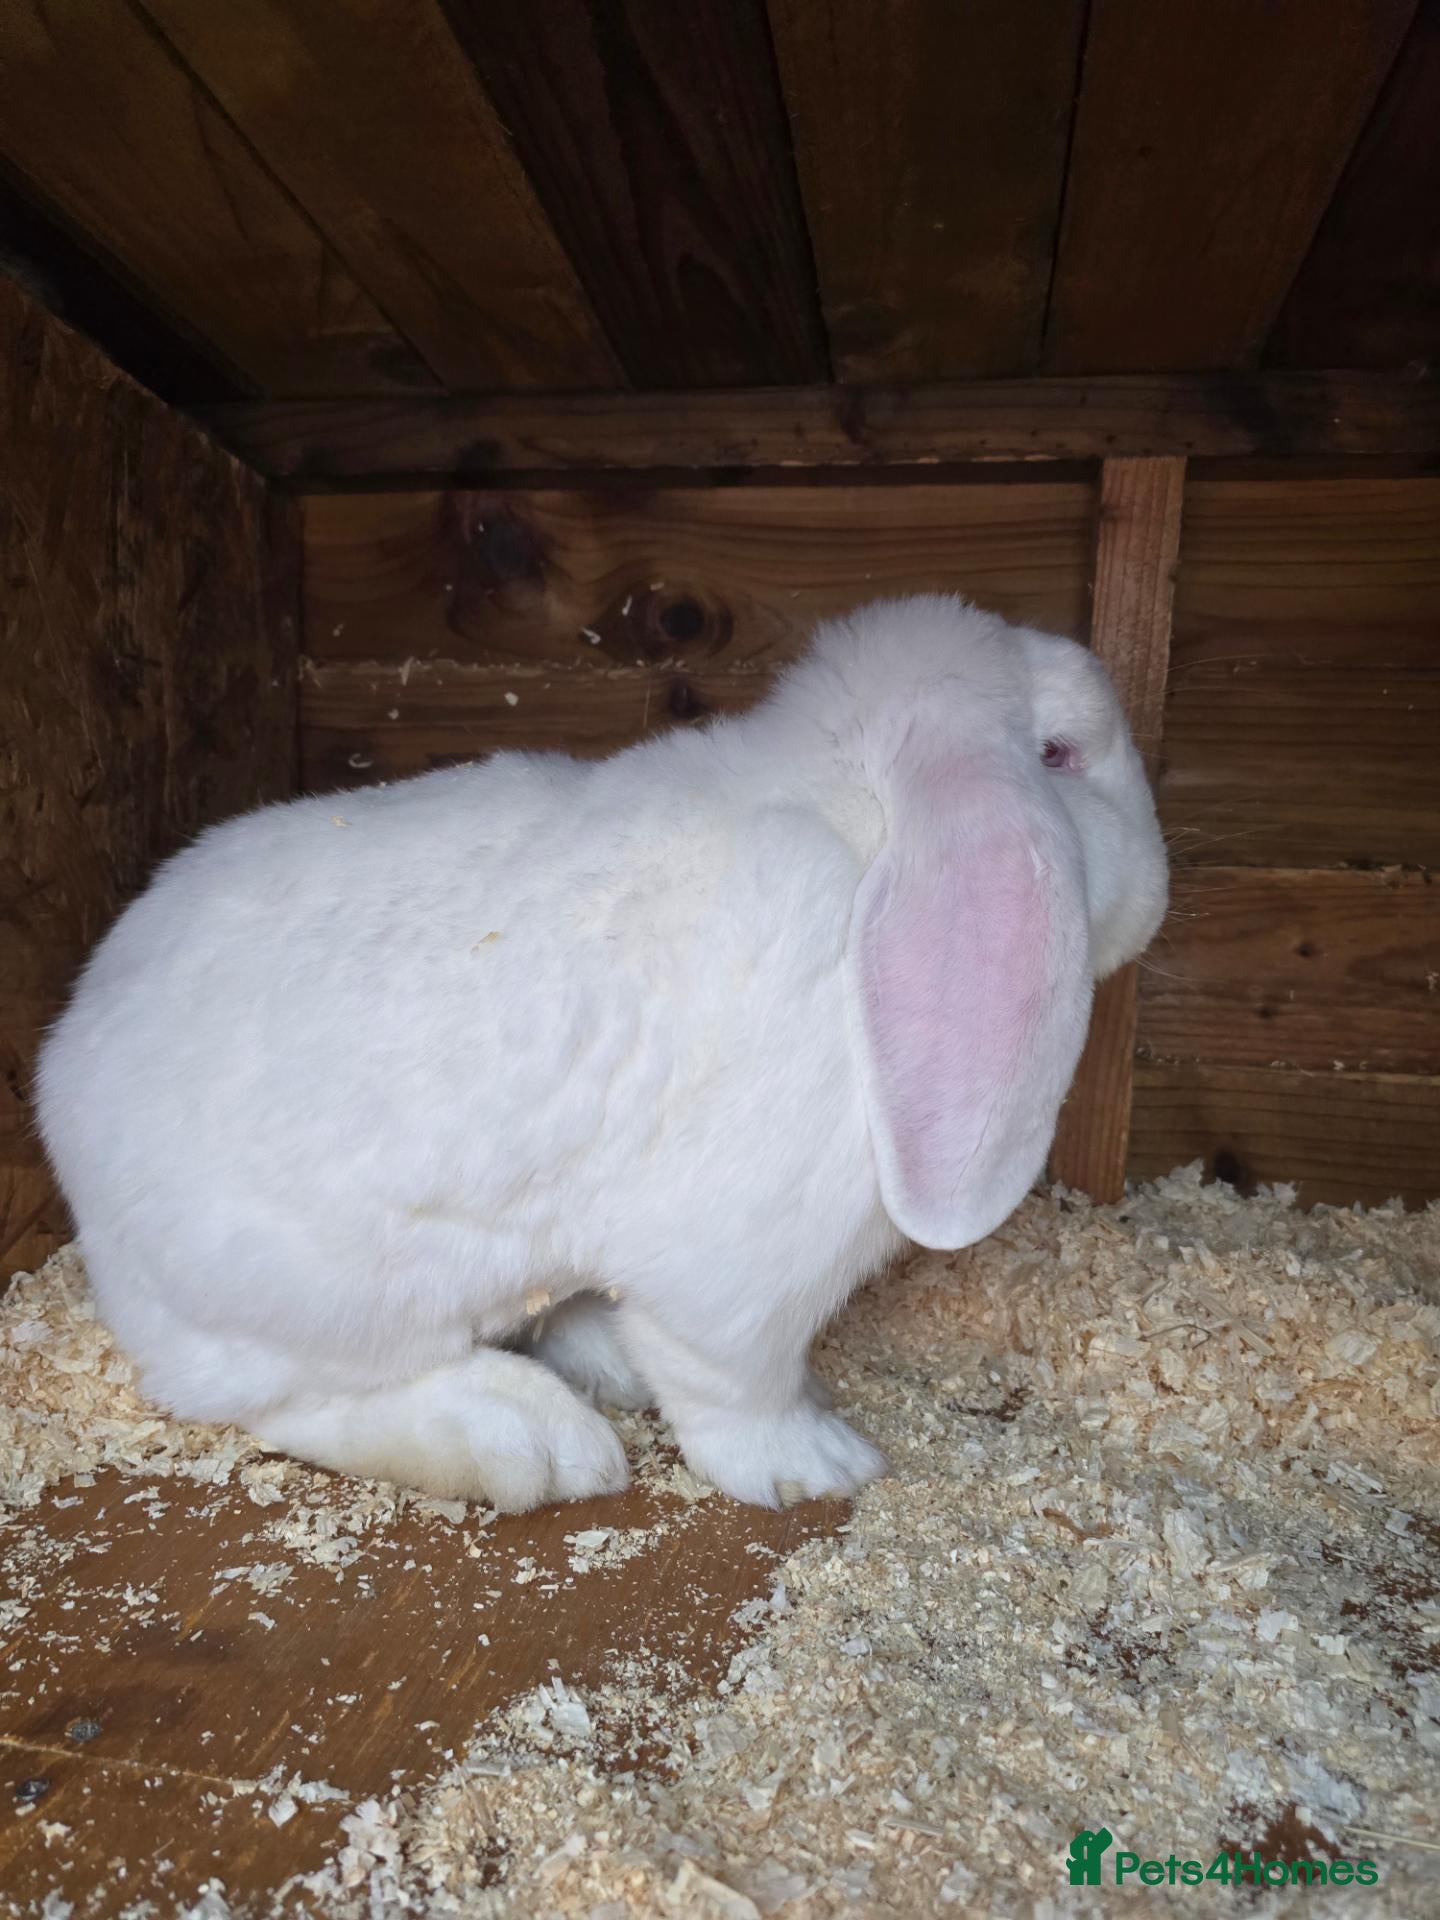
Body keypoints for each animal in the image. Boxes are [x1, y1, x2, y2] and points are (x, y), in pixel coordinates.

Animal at [36, 595, 1167, 1511]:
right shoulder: (744, 1262)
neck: (860, 833)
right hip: (311, 1301)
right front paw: (816, 1467)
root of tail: (63, 1082)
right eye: (1062, 754)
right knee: (274, 1398)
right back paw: (527, 1443)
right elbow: (735, 1379)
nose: (1161, 892)